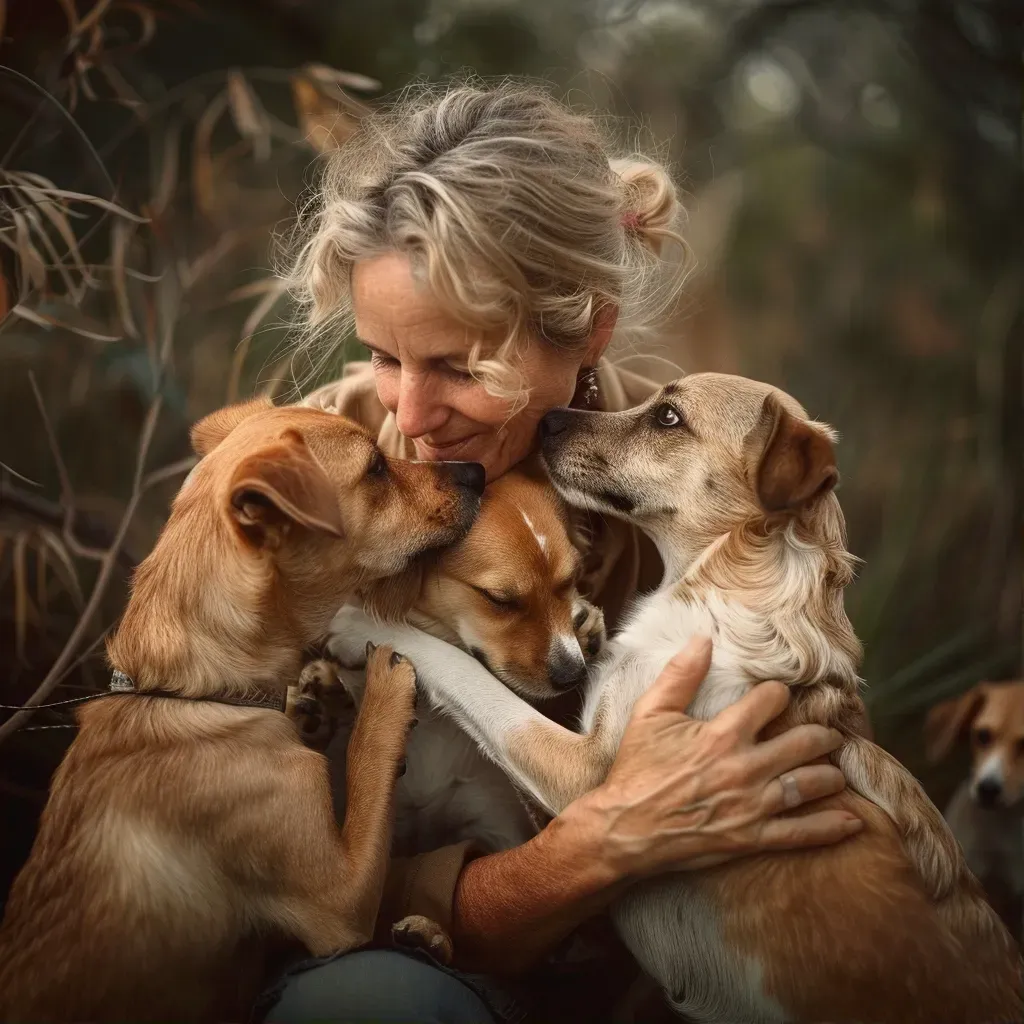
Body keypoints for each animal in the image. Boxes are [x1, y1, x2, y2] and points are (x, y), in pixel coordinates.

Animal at [0, 397, 483, 1024]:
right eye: (376, 468)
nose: (477, 471)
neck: (195, 691)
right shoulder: (338, 903)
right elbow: (364, 765)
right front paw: (382, 693)